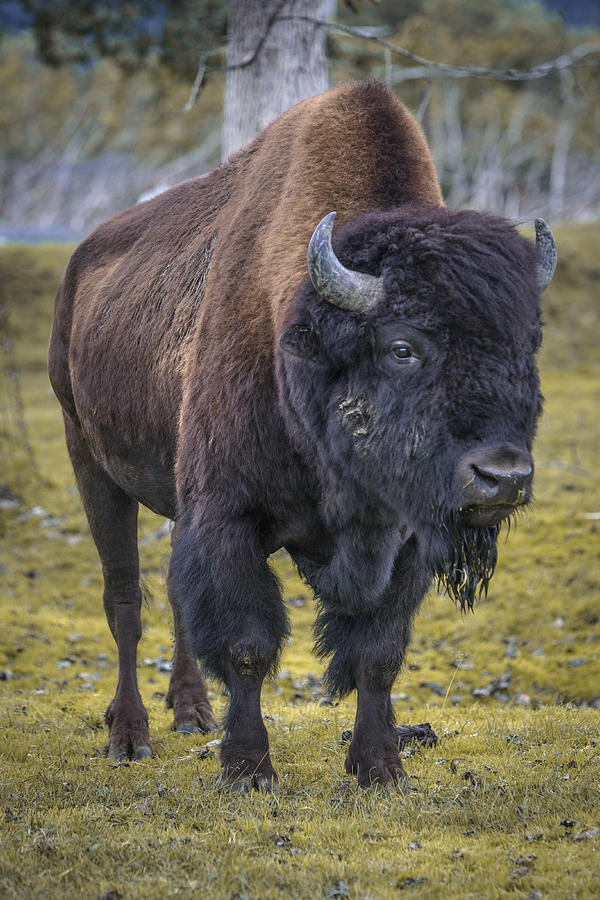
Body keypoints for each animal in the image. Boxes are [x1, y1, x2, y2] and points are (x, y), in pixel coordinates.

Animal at [49, 82, 556, 788]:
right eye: (402, 347)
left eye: (527, 347)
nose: (502, 478)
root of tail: (78, 267)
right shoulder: (228, 516)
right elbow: (248, 645)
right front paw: (248, 769)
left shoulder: (403, 541)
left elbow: (378, 651)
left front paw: (380, 767)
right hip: (90, 460)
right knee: (125, 599)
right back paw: (130, 735)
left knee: (175, 598)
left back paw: (191, 713)